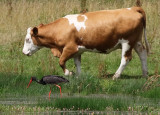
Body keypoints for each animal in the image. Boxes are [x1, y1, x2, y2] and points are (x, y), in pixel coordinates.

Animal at [22, 0, 150, 79]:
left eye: (28, 39)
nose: (23, 52)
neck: (59, 29)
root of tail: (132, 8)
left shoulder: (70, 48)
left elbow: (61, 61)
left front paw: (69, 73)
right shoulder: (78, 51)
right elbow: (77, 63)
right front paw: (79, 77)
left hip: (127, 42)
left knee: (126, 59)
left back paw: (116, 76)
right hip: (137, 42)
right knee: (143, 54)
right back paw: (145, 74)